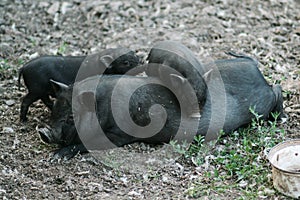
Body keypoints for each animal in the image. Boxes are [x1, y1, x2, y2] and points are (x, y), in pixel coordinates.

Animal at [39, 54, 284, 159]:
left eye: (72, 117)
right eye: (54, 110)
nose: (45, 133)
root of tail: (254, 66)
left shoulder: (119, 135)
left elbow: (86, 144)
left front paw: (57, 156)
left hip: (260, 106)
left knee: (278, 89)